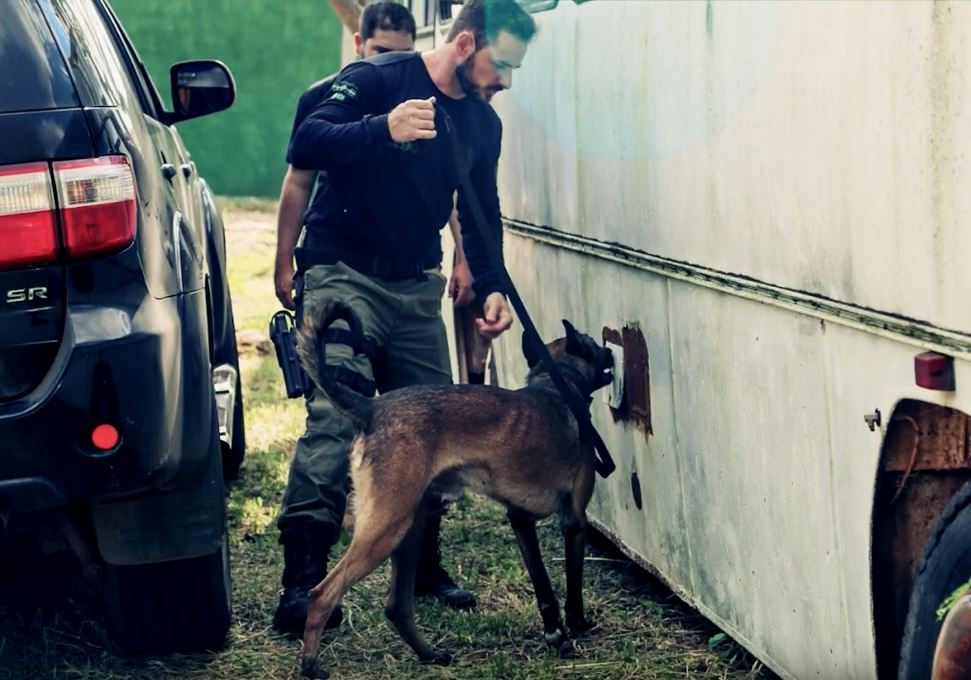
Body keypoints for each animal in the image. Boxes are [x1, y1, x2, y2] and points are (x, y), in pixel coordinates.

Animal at [296, 300, 616, 676]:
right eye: (594, 345)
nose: (611, 352)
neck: (555, 385)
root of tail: (371, 407)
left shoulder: (520, 520)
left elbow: (543, 587)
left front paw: (555, 633)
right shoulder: (575, 520)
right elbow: (572, 583)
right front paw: (576, 624)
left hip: (410, 528)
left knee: (397, 606)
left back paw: (430, 655)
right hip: (385, 530)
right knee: (322, 595)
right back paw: (311, 666)